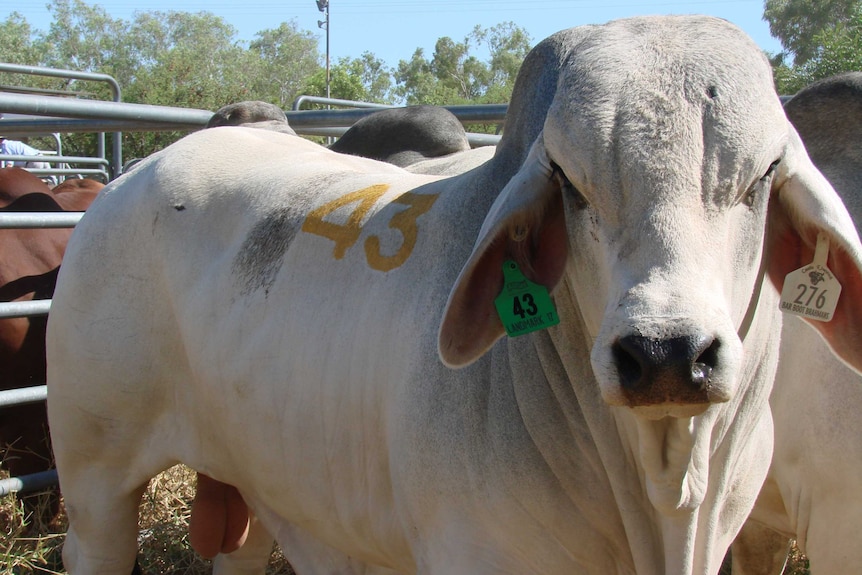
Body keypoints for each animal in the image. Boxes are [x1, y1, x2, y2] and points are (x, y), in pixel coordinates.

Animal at [45, 13, 862, 575]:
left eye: (762, 175)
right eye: (568, 181)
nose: (666, 354)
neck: (664, 496)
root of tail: (133, 177)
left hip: (253, 480)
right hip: (94, 481)